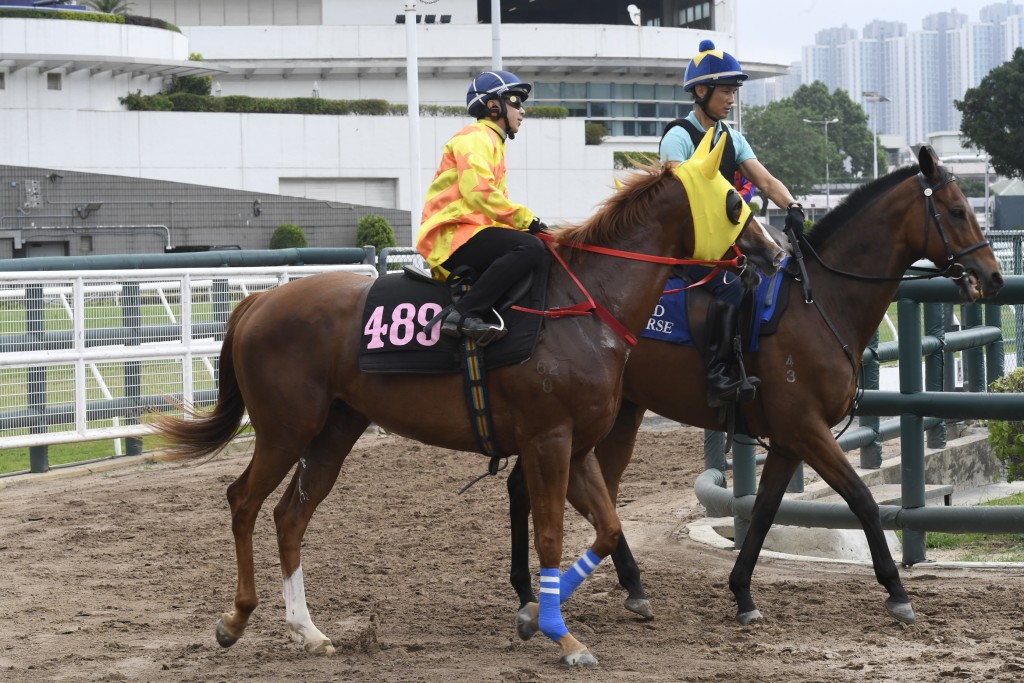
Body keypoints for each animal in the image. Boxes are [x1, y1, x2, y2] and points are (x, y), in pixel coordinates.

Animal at [146, 132, 782, 667]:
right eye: (733, 200)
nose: (772, 253)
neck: (584, 305)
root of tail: (258, 302)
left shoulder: (576, 448)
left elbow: (606, 529)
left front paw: (536, 615)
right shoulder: (548, 440)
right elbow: (551, 535)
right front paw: (562, 636)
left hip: (335, 431)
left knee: (289, 515)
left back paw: (309, 631)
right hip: (285, 429)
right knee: (243, 502)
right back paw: (235, 619)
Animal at [507, 144, 1003, 634]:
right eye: (957, 211)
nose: (993, 277)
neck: (820, 304)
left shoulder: (788, 442)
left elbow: (764, 512)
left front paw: (742, 592)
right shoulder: (807, 430)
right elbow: (862, 500)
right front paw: (897, 593)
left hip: (614, 417)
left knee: (576, 492)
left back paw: (617, 587)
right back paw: (538, 591)